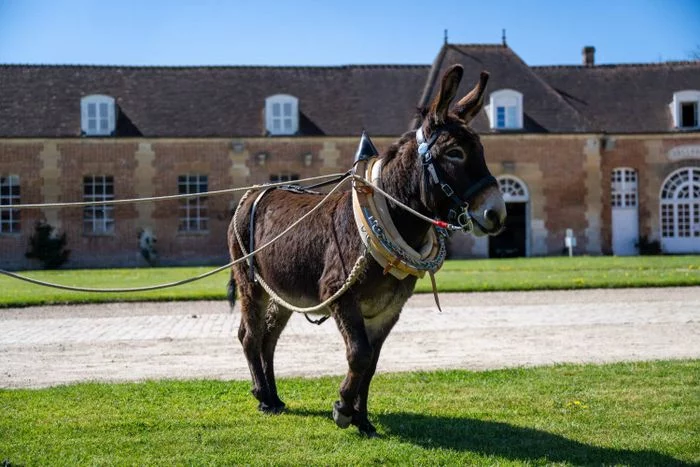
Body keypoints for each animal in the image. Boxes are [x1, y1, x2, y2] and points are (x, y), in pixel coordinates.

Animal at [227, 64, 506, 436]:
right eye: (454, 154)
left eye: (482, 151)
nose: (497, 213)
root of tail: (256, 191)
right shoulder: (340, 294)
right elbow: (358, 354)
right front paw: (343, 409)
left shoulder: (388, 309)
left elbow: (372, 362)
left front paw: (362, 419)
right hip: (251, 285)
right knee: (249, 335)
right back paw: (262, 396)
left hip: (282, 291)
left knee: (268, 338)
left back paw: (273, 397)